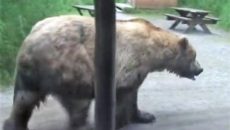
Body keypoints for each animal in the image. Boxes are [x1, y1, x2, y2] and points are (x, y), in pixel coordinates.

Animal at [2, 15, 202, 130]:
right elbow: (123, 93)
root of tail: (30, 37)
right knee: (78, 101)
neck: (153, 51)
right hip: (70, 62)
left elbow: (133, 95)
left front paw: (145, 116)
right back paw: (82, 124)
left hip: (32, 73)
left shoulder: (138, 70)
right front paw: (119, 121)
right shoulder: (129, 60)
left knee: (24, 99)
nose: (200, 69)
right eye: (194, 56)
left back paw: (13, 124)